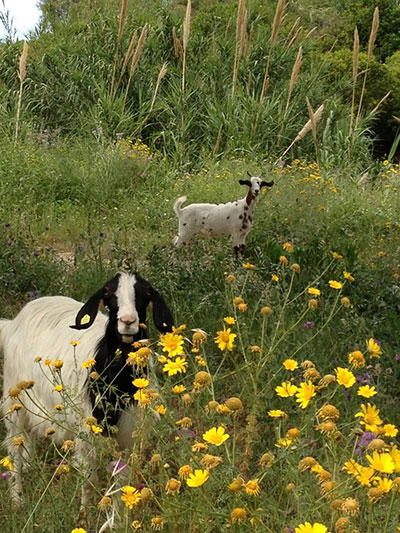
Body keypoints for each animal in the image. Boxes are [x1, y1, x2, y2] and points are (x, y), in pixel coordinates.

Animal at [0, 272, 174, 504]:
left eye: (146, 293)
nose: (128, 322)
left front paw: (115, 513)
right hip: (14, 401)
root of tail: (13, 323)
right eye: (108, 293)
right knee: (14, 449)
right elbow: (88, 480)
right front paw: (85, 512)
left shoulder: (128, 433)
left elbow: (120, 481)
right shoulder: (86, 431)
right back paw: (17, 499)